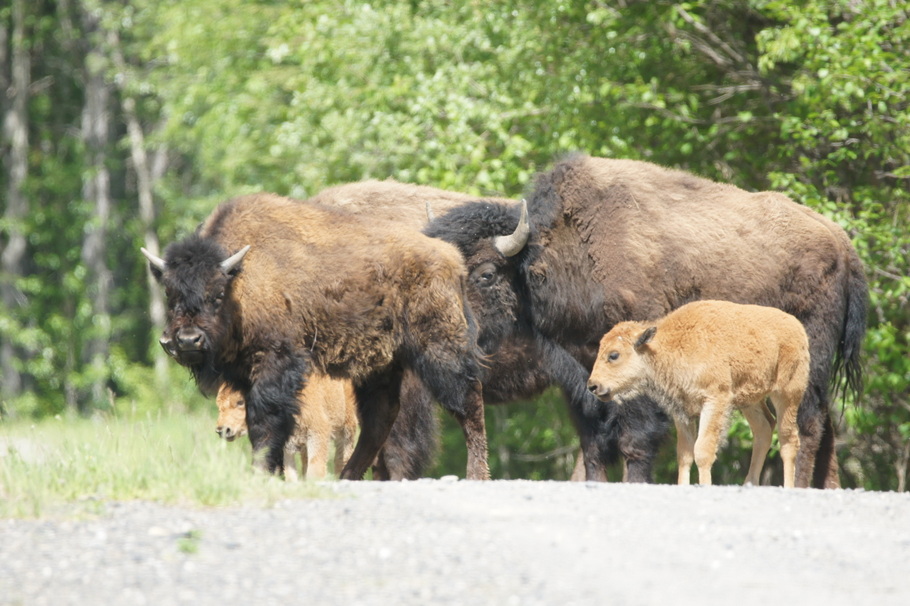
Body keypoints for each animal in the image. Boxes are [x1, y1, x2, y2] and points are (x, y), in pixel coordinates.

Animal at [215, 374, 358, 481]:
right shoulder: (287, 445)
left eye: (240, 402)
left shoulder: (318, 433)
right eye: (218, 404)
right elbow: (290, 473)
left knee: (342, 458)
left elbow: (315, 469)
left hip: (347, 430)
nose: (221, 430)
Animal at [587, 300, 810, 488]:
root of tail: (797, 326)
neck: (666, 346)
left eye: (614, 355)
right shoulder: (682, 411)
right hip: (750, 401)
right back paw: (749, 483)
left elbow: (702, 450)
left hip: (787, 394)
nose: (593, 386)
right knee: (764, 429)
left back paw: (788, 486)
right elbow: (684, 454)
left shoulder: (714, 400)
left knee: (788, 438)